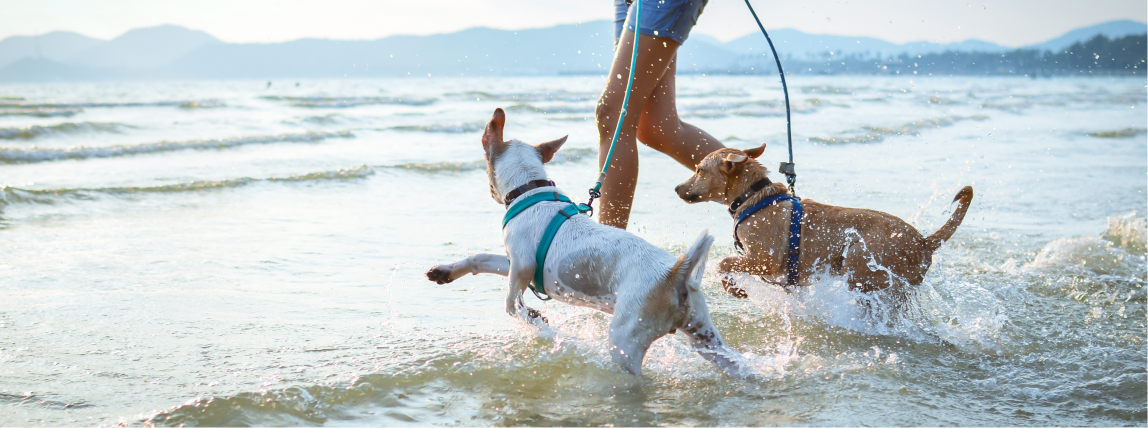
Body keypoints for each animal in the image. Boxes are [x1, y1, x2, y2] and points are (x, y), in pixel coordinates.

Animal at [427, 108, 739, 374]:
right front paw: (445, 271)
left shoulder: (522, 266)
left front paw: (535, 321)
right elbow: (480, 259)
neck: (530, 190)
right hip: (705, 338)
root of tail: (676, 275)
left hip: (625, 340)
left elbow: (511, 304)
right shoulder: (515, 262)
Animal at [675, 143, 973, 296]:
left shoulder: (764, 260)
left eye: (699, 170)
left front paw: (734, 289)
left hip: (859, 260)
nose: (677, 188)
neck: (755, 198)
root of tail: (924, 242)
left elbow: (725, 263)